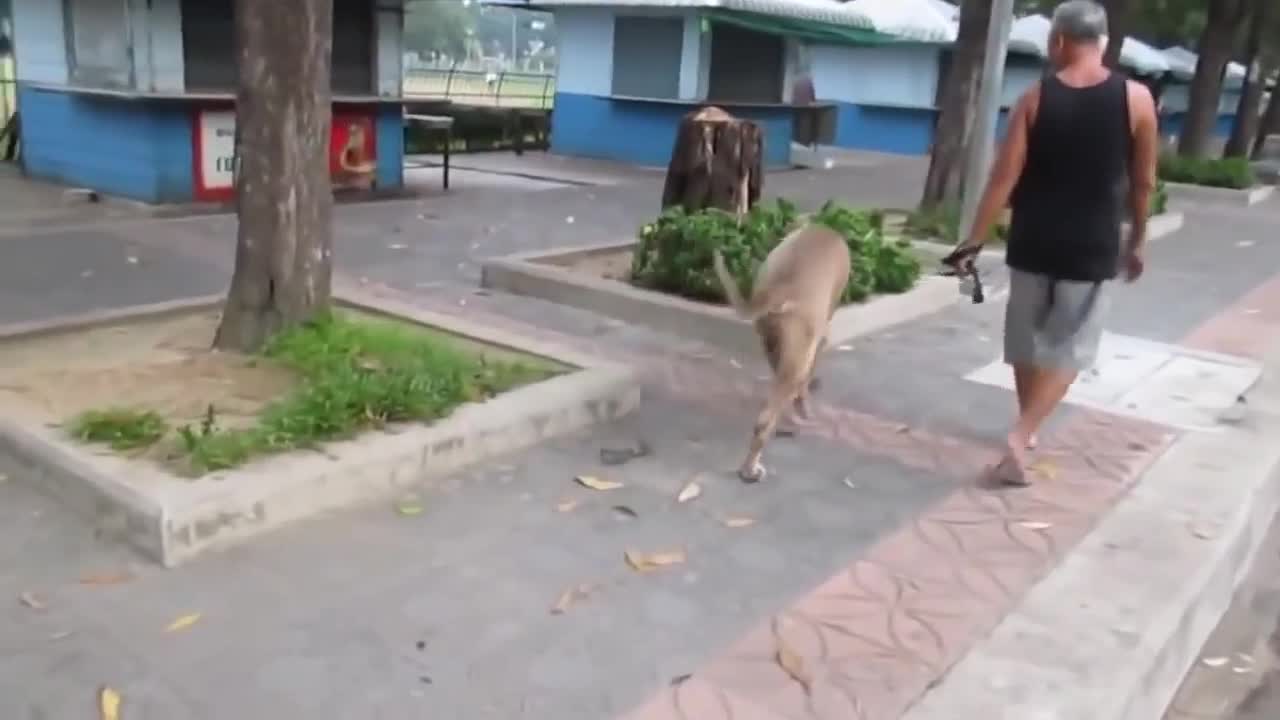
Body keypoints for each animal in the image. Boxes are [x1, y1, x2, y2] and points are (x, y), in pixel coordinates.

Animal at [711, 222, 849, 481]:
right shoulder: (818, 342)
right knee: (765, 419)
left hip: (771, 342)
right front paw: (804, 408)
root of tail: (780, 290)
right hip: (796, 359)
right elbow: (804, 385)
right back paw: (751, 468)